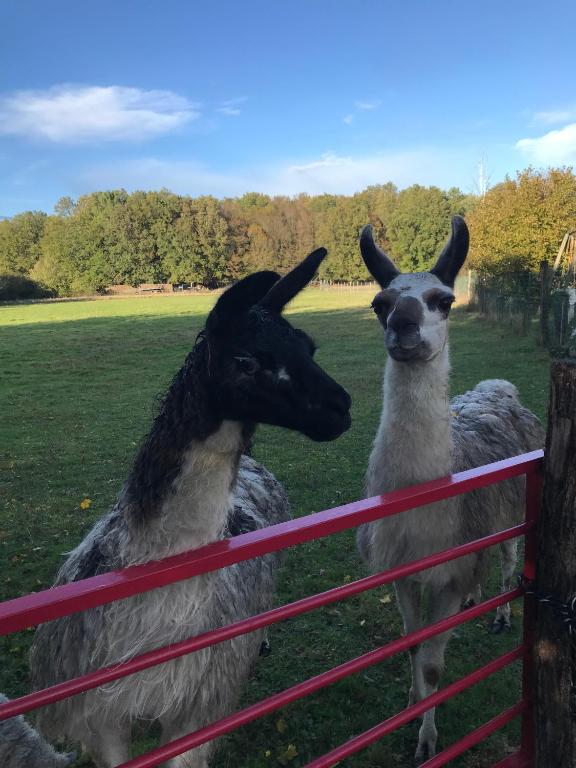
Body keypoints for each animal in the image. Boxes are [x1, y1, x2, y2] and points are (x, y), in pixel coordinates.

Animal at [356, 217, 544, 763]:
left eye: (442, 299)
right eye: (381, 303)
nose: (402, 325)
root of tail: (497, 388)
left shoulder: (446, 570)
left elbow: (436, 667)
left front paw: (427, 740)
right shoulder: (404, 569)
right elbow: (413, 645)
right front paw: (412, 701)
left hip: (512, 505)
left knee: (508, 555)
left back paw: (500, 613)